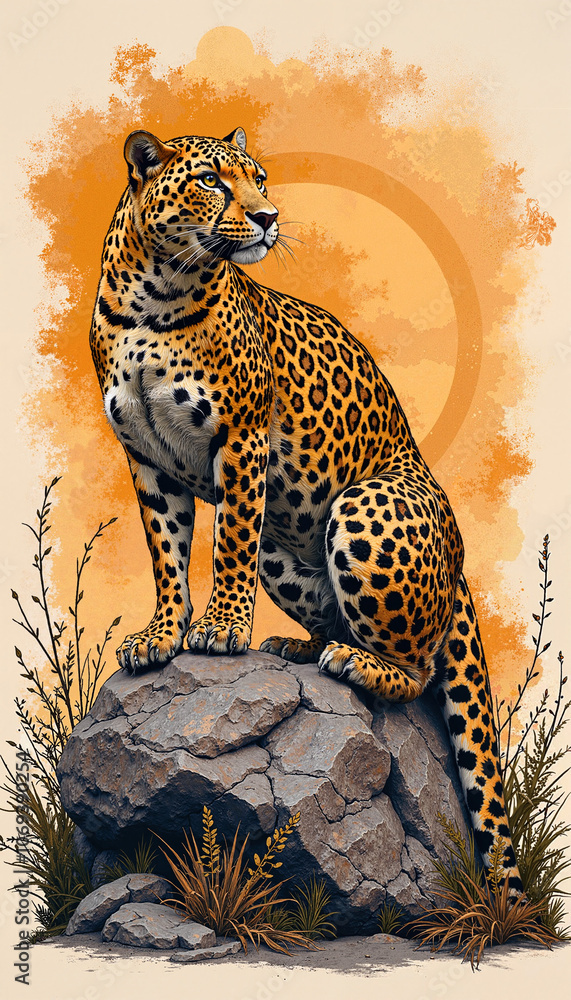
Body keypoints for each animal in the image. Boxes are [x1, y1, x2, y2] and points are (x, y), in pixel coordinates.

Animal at [90, 125, 522, 891]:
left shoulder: (241, 437)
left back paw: (354, 663)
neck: (152, 298)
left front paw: (221, 630)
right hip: (285, 556)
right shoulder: (144, 456)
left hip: (361, 505)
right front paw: (162, 634)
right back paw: (303, 646)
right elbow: (166, 551)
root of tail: (458, 562)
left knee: (417, 669)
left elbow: (228, 541)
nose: (267, 217)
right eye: (212, 180)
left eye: (259, 178)